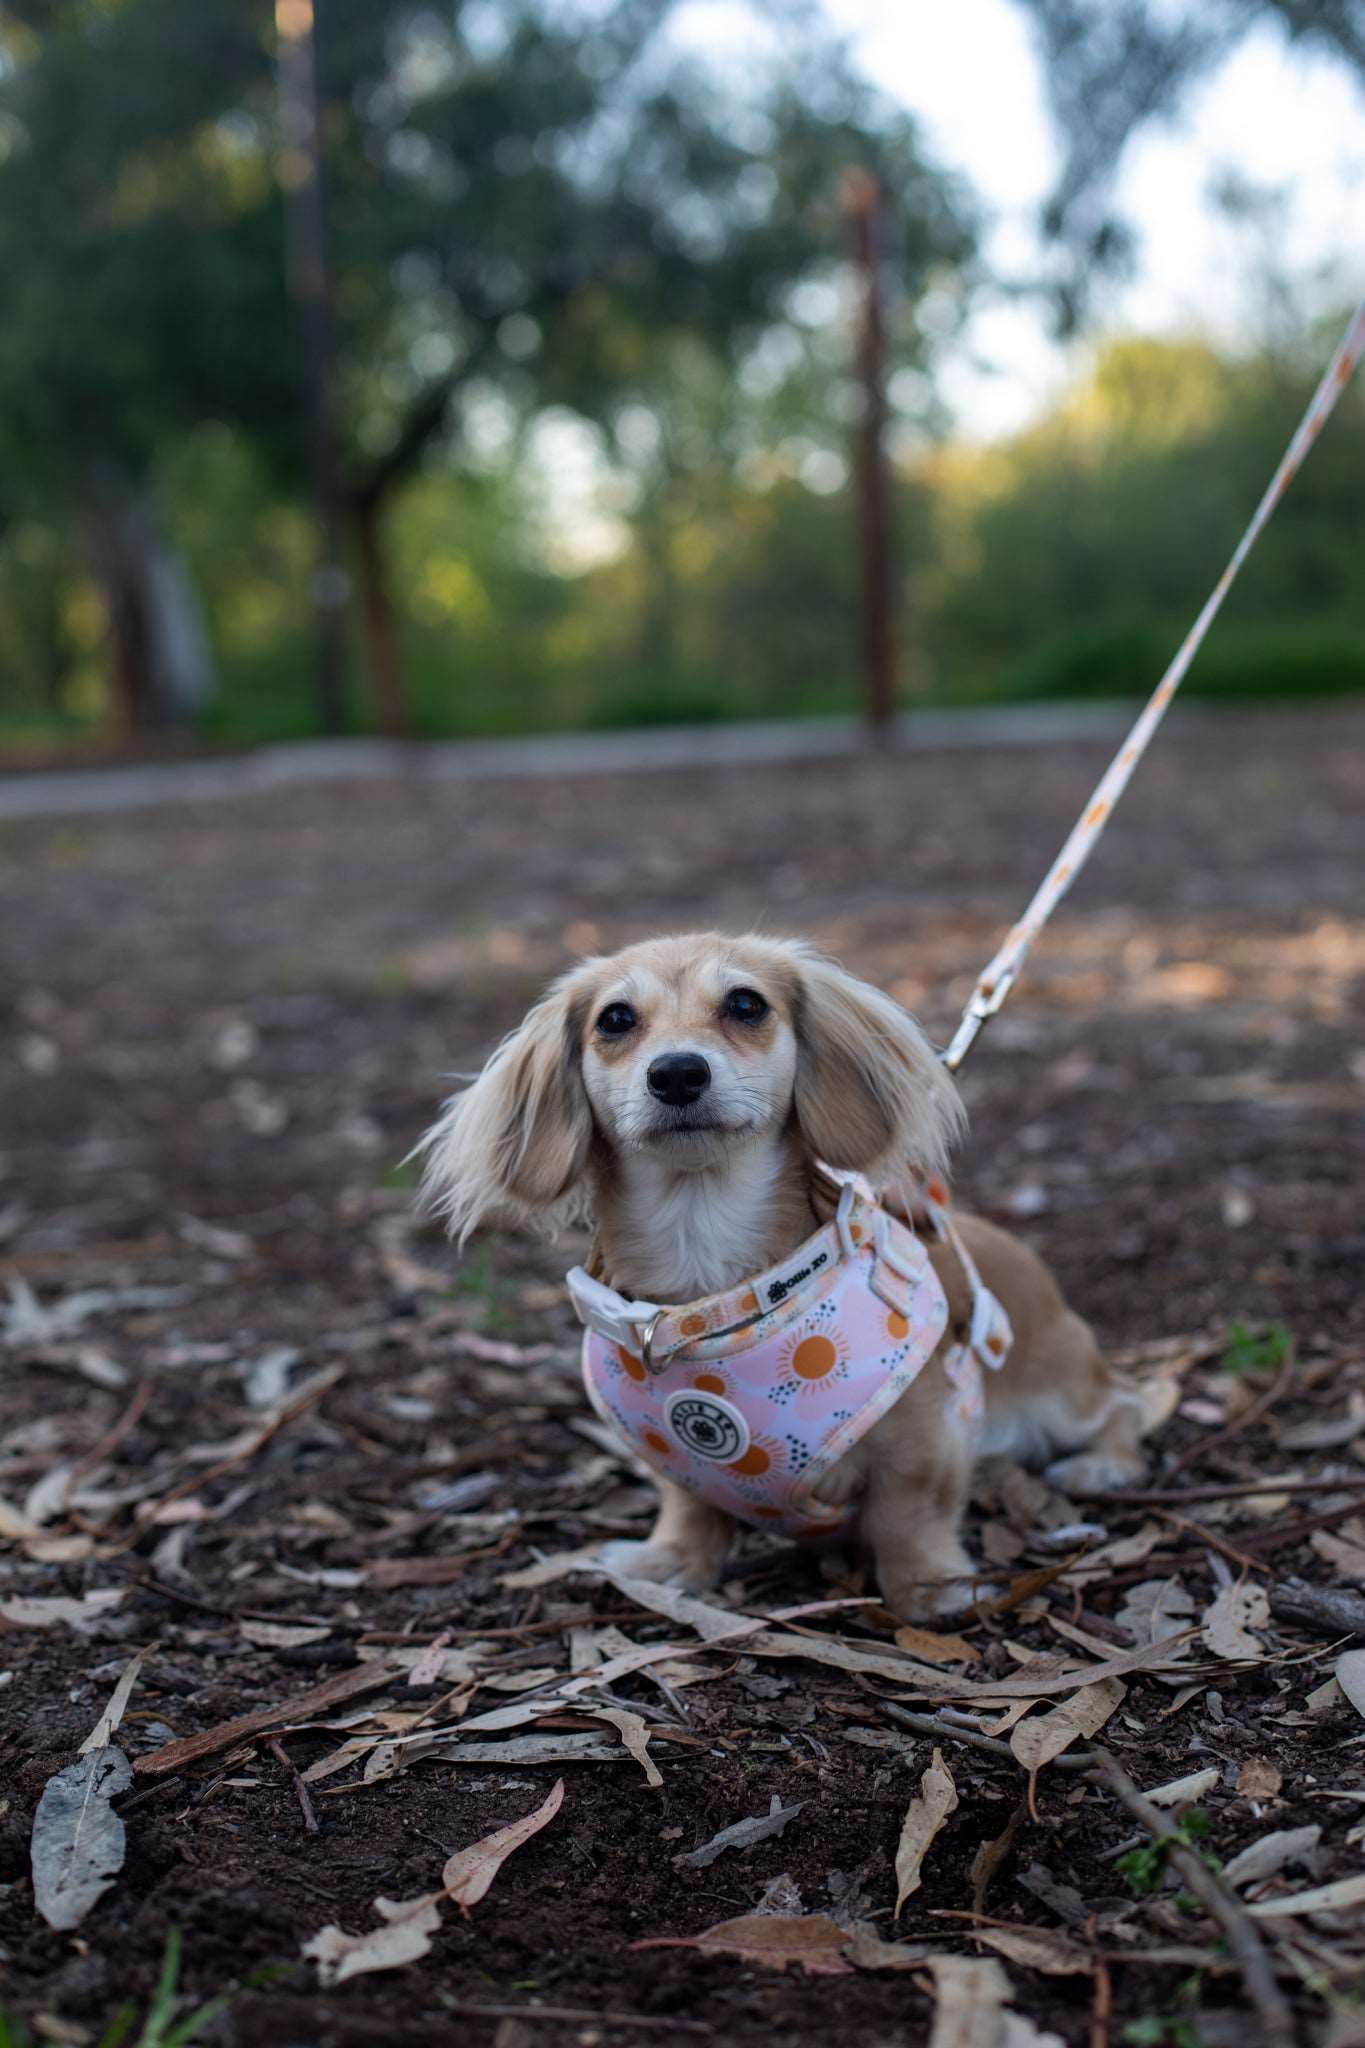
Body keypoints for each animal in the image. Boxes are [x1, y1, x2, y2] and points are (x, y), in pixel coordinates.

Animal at [419, 937, 1154, 1622]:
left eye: (746, 1004)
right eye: (616, 1019)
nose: (677, 1072)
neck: (709, 1294)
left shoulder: (927, 1442)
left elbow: (907, 1519)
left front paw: (929, 1588)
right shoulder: (673, 1460)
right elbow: (690, 1507)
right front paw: (670, 1562)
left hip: (1059, 1394)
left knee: (1124, 1407)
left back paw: (1102, 1464)